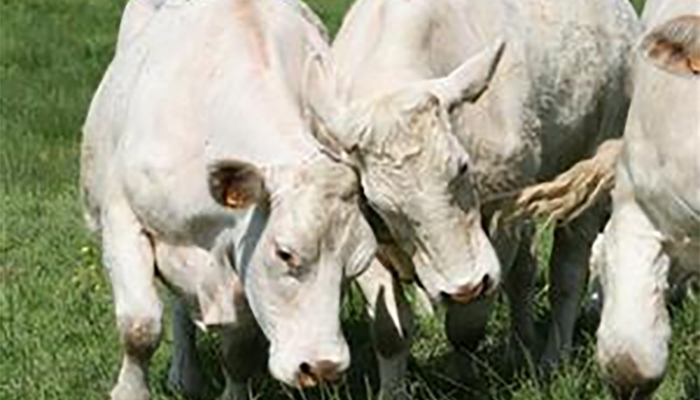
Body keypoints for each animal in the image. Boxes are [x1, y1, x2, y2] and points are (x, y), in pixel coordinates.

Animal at [79, 0, 404, 399]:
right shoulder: (122, 219)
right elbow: (140, 327)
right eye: (285, 253)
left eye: (358, 263)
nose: (323, 368)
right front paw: (130, 391)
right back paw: (185, 375)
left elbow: (239, 350)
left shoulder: (239, 259)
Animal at [303, 0, 640, 376]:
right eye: (379, 204)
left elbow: (468, 324)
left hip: (596, 154)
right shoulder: (366, 233)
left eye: (463, 167)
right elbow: (389, 333)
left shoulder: (504, 210)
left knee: (567, 271)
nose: (463, 287)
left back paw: (552, 358)